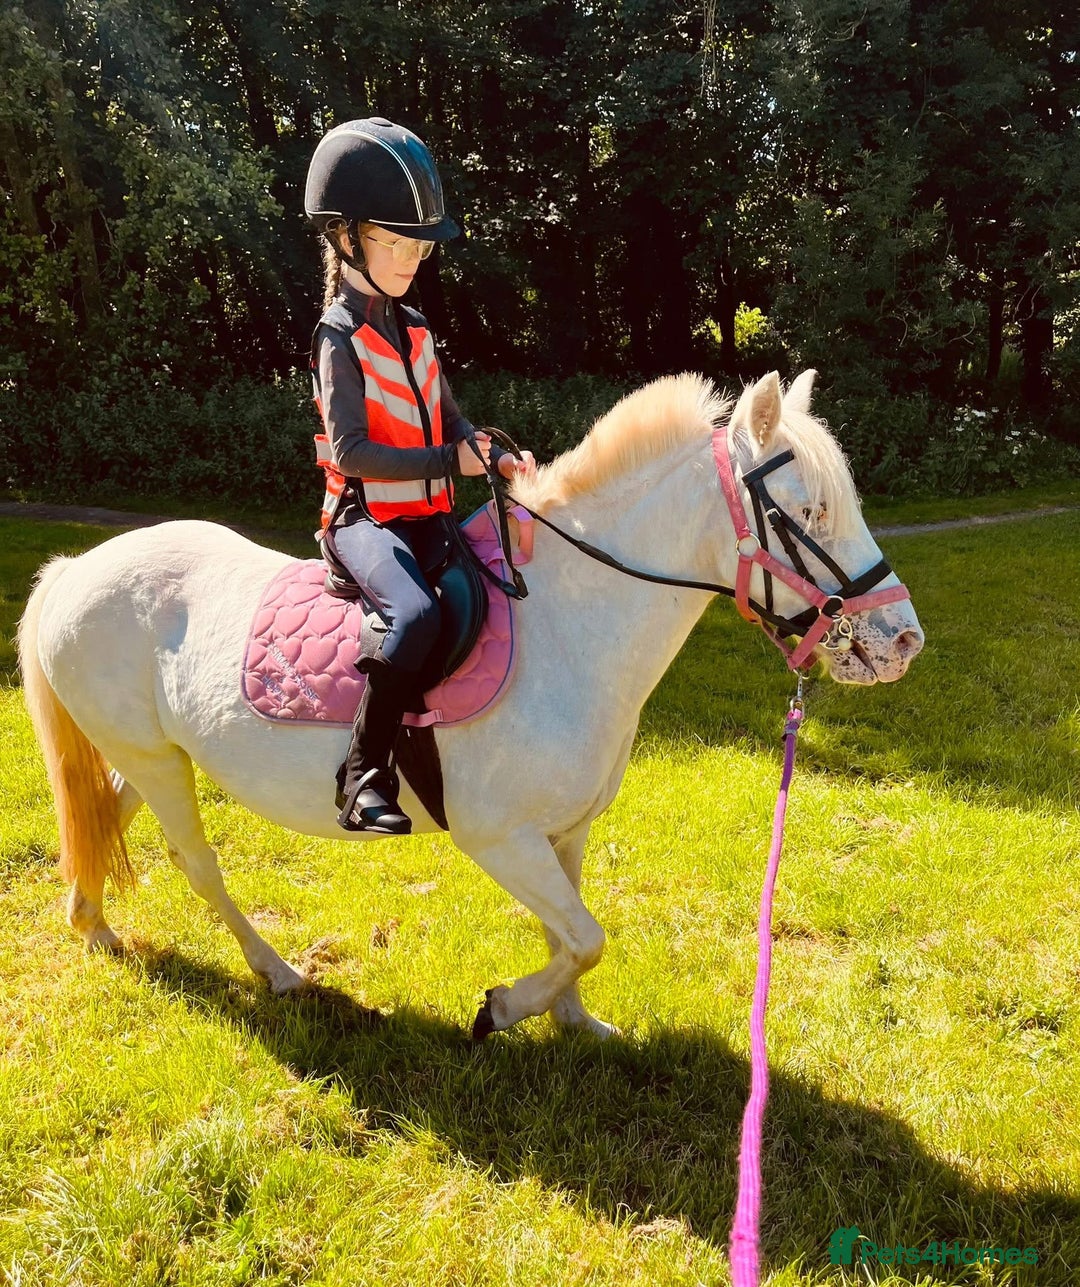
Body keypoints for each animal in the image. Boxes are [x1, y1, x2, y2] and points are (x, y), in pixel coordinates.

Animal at [17, 369, 923, 1038]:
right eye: (806, 512)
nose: (904, 639)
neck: (565, 623)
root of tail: (75, 568)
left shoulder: (564, 830)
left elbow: (573, 934)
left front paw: (573, 1021)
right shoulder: (497, 837)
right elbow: (586, 936)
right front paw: (504, 1008)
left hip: (154, 755)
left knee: (105, 812)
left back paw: (91, 922)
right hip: (157, 761)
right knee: (197, 863)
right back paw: (275, 971)